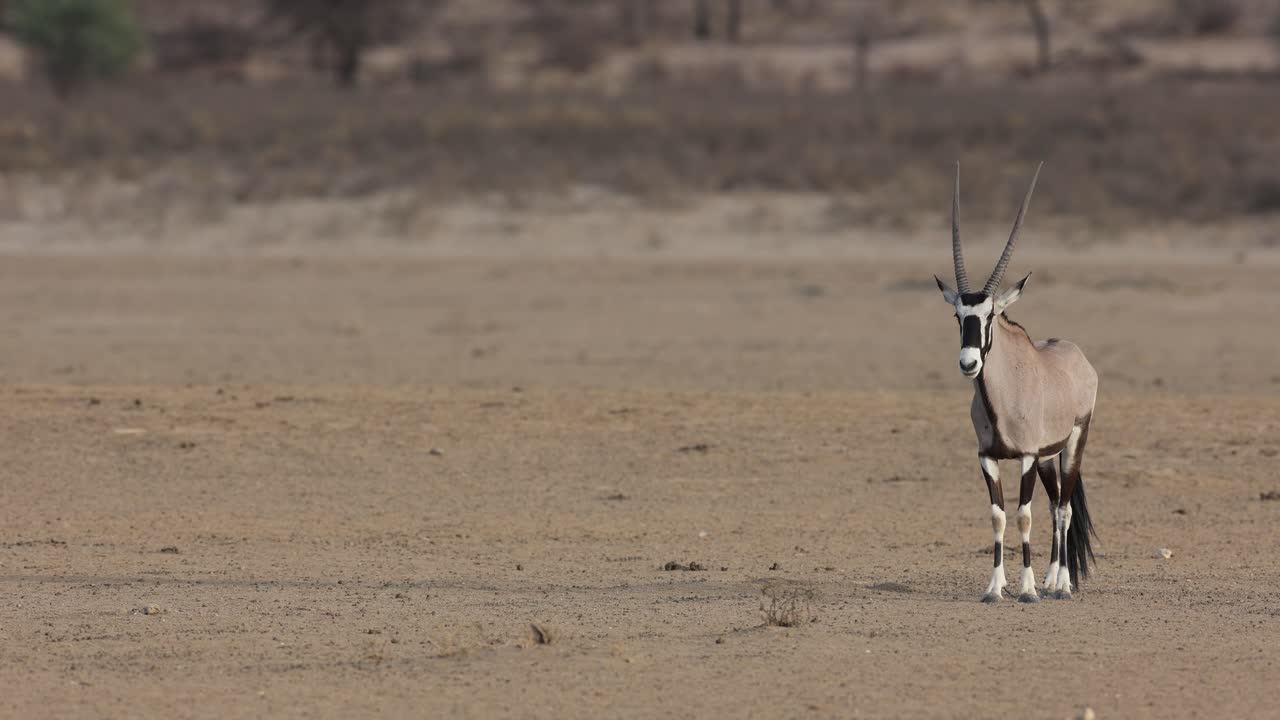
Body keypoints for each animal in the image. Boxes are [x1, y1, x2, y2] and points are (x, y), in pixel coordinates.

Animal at [933, 163, 1098, 603]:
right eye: (958, 316)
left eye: (989, 315)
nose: (969, 362)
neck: (1003, 397)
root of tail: (1076, 355)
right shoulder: (988, 457)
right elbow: (998, 515)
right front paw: (995, 587)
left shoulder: (1024, 456)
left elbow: (1023, 516)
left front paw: (1026, 589)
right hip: (1047, 458)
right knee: (1055, 503)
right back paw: (1053, 578)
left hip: (1073, 443)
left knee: (1063, 508)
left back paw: (1061, 585)